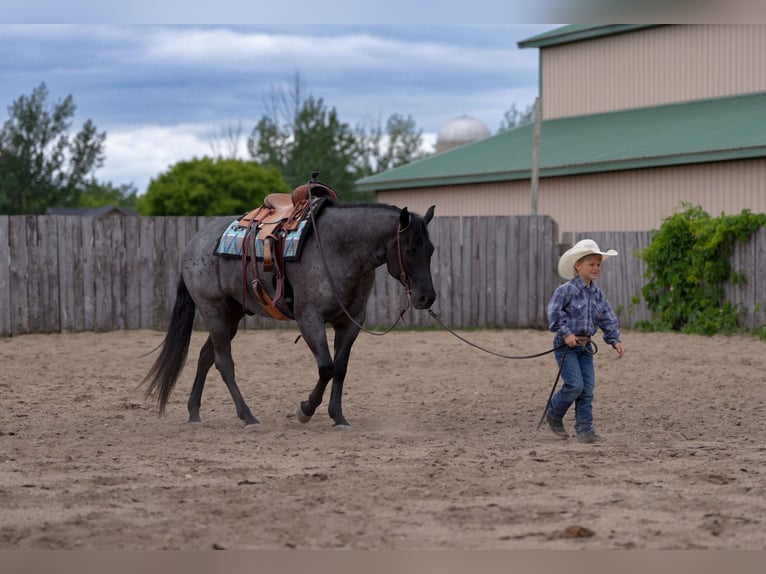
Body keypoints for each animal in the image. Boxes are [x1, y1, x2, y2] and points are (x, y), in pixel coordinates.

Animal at [142, 192, 436, 430]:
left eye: (431, 250)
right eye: (409, 249)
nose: (427, 297)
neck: (339, 248)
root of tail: (193, 244)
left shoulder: (350, 322)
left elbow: (340, 368)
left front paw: (338, 417)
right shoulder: (310, 319)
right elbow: (326, 367)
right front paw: (305, 409)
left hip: (231, 314)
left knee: (206, 357)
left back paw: (194, 413)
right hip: (213, 311)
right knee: (224, 363)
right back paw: (248, 417)